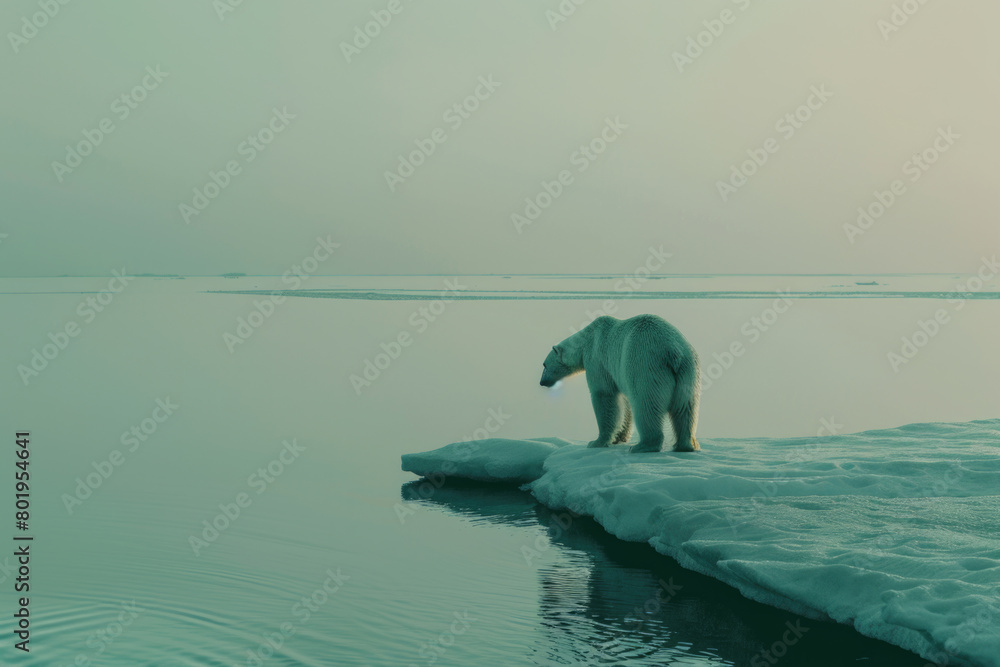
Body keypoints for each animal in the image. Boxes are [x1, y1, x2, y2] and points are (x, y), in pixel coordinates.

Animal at [539, 314, 701, 453]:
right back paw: (684, 445)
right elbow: (625, 403)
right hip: (688, 372)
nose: (542, 382)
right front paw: (620, 437)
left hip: (647, 366)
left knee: (646, 405)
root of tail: (673, 352)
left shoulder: (597, 358)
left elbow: (604, 395)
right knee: (685, 408)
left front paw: (596, 442)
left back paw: (642, 446)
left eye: (544, 365)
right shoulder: (619, 373)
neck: (587, 338)